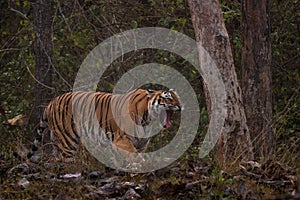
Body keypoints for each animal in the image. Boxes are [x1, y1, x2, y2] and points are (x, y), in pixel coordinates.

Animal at [30, 88, 182, 162]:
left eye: (177, 97)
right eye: (168, 98)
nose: (180, 106)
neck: (148, 120)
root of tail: (51, 103)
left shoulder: (142, 144)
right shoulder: (122, 140)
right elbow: (135, 158)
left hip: (57, 141)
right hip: (68, 142)